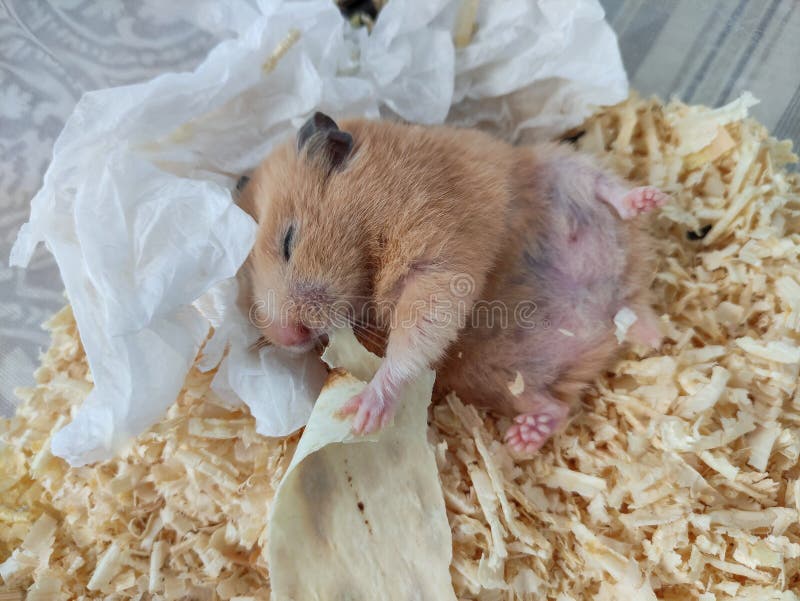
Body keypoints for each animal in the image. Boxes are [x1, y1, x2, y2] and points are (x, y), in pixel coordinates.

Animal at [237, 112, 666, 455]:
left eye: (289, 241)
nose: (285, 337)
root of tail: (615, 305)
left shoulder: (437, 260)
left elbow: (410, 343)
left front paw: (362, 412)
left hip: (558, 164)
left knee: (603, 185)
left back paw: (647, 199)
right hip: (501, 377)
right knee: (555, 407)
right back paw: (523, 439)